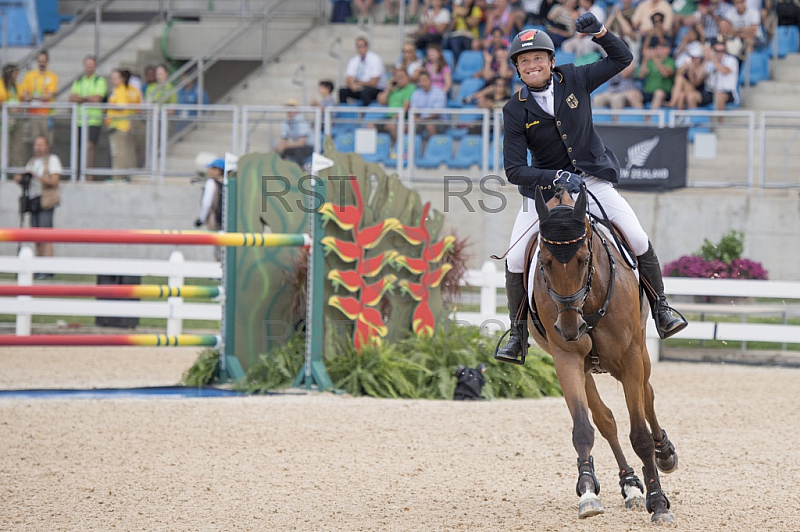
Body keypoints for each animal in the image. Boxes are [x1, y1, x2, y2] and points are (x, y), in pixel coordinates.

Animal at [524, 186, 680, 524]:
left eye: (584, 259)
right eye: (544, 261)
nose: (570, 328)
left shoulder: (631, 357)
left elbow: (640, 434)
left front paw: (659, 503)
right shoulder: (566, 359)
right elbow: (584, 428)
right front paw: (588, 494)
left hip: (639, 355)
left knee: (647, 397)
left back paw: (664, 453)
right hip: (587, 368)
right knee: (606, 419)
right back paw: (629, 485)